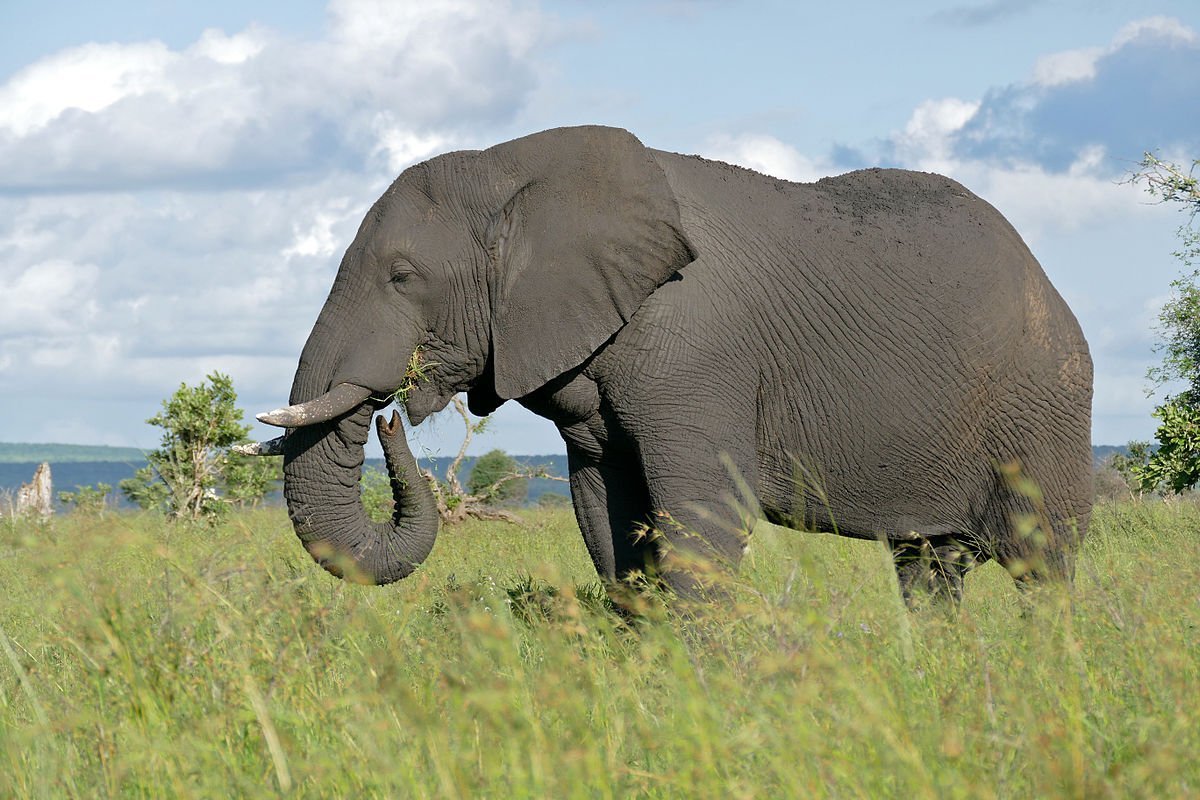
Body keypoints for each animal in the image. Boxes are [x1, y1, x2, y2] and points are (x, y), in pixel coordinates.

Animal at [248, 125, 1094, 606]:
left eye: (401, 276)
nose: (392, 415)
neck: (515, 171)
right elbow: (610, 524)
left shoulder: (700, 352)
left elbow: (701, 522)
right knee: (928, 568)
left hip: (1044, 399)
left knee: (1042, 561)